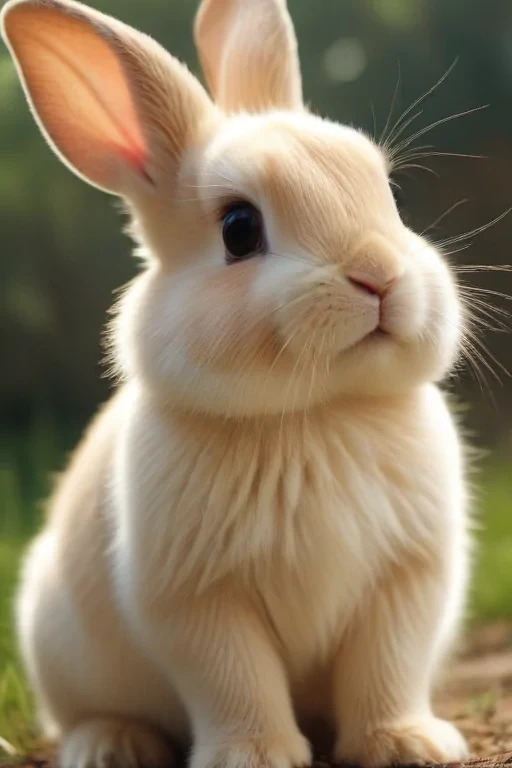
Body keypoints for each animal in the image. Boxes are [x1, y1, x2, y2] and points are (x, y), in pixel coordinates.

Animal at [1, 0, 472, 767]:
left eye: (389, 195)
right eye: (240, 228)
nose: (379, 274)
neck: (314, 415)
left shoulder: (408, 580)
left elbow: (387, 669)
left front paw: (408, 743)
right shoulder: (197, 601)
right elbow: (235, 680)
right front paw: (257, 755)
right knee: (87, 713)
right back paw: (111, 744)